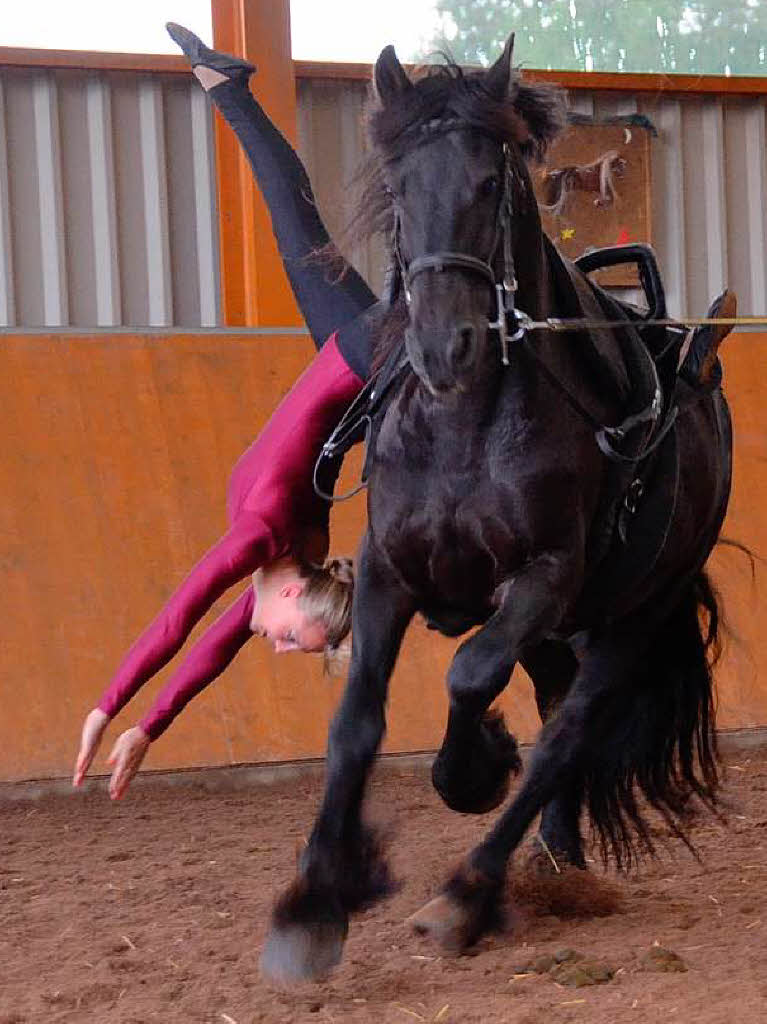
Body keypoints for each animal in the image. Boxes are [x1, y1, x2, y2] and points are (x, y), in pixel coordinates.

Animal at [262, 36, 729, 978]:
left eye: (490, 183)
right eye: (400, 187)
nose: (444, 346)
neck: (464, 426)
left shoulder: (542, 577)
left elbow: (470, 673)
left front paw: (473, 767)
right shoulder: (387, 570)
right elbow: (355, 721)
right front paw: (316, 897)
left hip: (630, 613)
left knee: (569, 730)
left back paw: (471, 891)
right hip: (560, 631)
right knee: (555, 707)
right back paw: (553, 856)